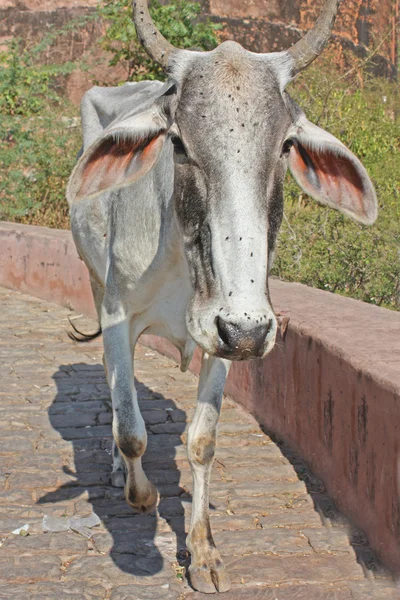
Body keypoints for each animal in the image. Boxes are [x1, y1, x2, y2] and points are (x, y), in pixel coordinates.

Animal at [68, 0, 378, 592]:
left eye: (285, 146)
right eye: (178, 142)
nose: (247, 330)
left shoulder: (230, 333)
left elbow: (202, 440)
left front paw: (204, 552)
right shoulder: (120, 315)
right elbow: (131, 429)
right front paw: (142, 494)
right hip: (96, 283)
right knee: (118, 393)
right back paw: (121, 473)